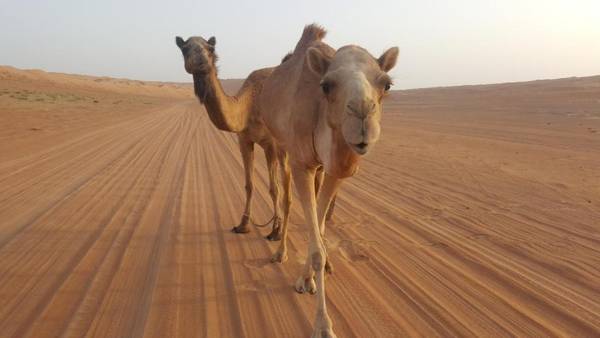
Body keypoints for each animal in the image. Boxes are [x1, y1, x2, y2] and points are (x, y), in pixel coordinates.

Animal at [258, 25, 396, 336]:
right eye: (326, 85)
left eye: (387, 84)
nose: (362, 114)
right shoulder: (302, 164)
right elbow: (316, 246)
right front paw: (322, 324)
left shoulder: (334, 169)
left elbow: (318, 232)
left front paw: (307, 278)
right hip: (282, 146)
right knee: (286, 198)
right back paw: (279, 252)